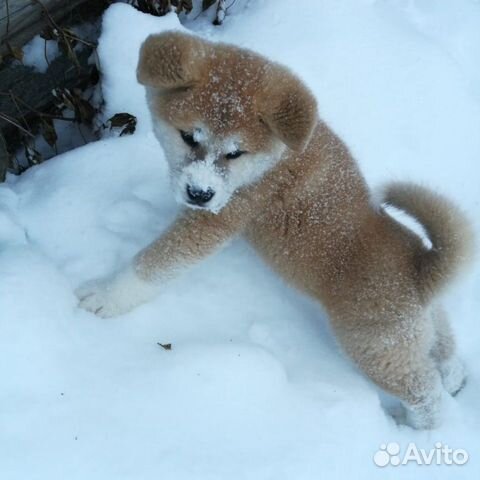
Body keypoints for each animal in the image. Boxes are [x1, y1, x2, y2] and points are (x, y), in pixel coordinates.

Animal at [77, 31, 474, 430]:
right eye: (189, 136)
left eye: (235, 153)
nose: (199, 194)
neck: (276, 156)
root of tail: (421, 271)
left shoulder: (217, 220)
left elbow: (154, 262)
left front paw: (105, 296)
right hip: (424, 328)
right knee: (445, 352)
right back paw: (454, 377)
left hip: (376, 350)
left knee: (425, 393)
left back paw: (412, 425)